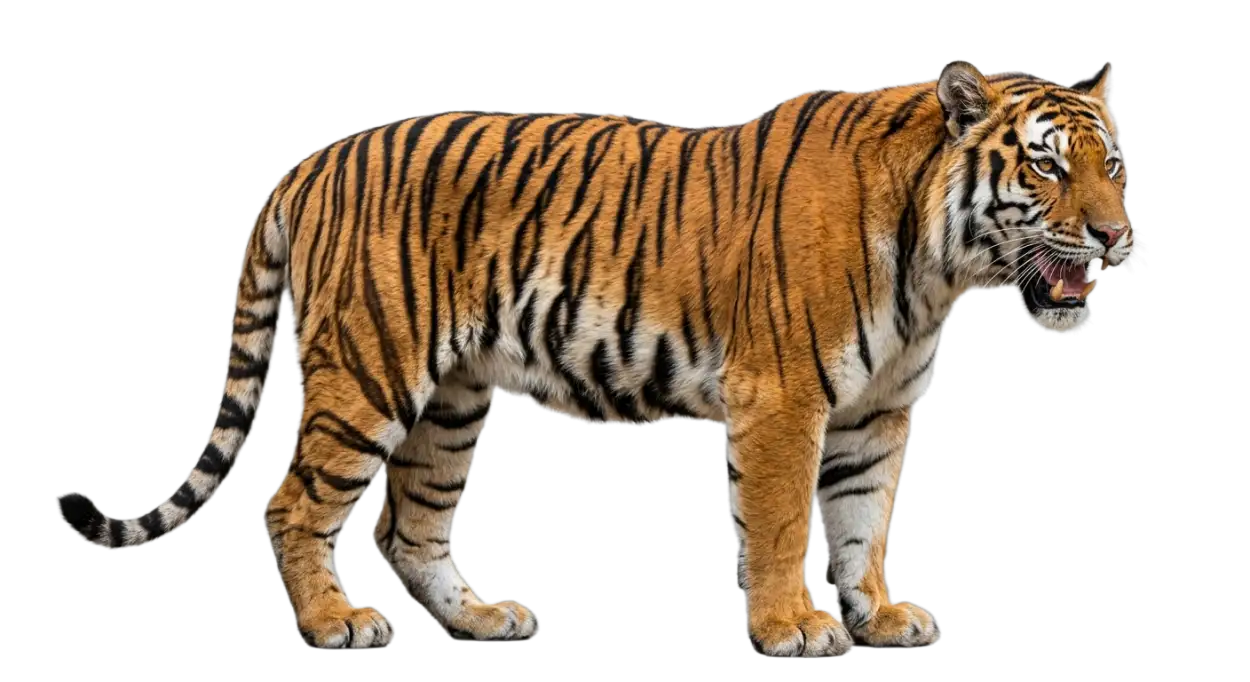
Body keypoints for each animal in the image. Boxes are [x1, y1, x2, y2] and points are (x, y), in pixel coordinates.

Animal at [55, 60, 1136, 657]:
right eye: (1045, 165)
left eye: (1113, 165)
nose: (1117, 235)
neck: (936, 268)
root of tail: (311, 159)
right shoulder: (784, 399)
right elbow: (785, 523)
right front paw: (792, 627)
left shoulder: (876, 411)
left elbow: (863, 523)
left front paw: (876, 616)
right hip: (368, 371)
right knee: (294, 503)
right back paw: (333, 625)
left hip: (452, 398)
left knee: (411, 527)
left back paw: (482, 618)